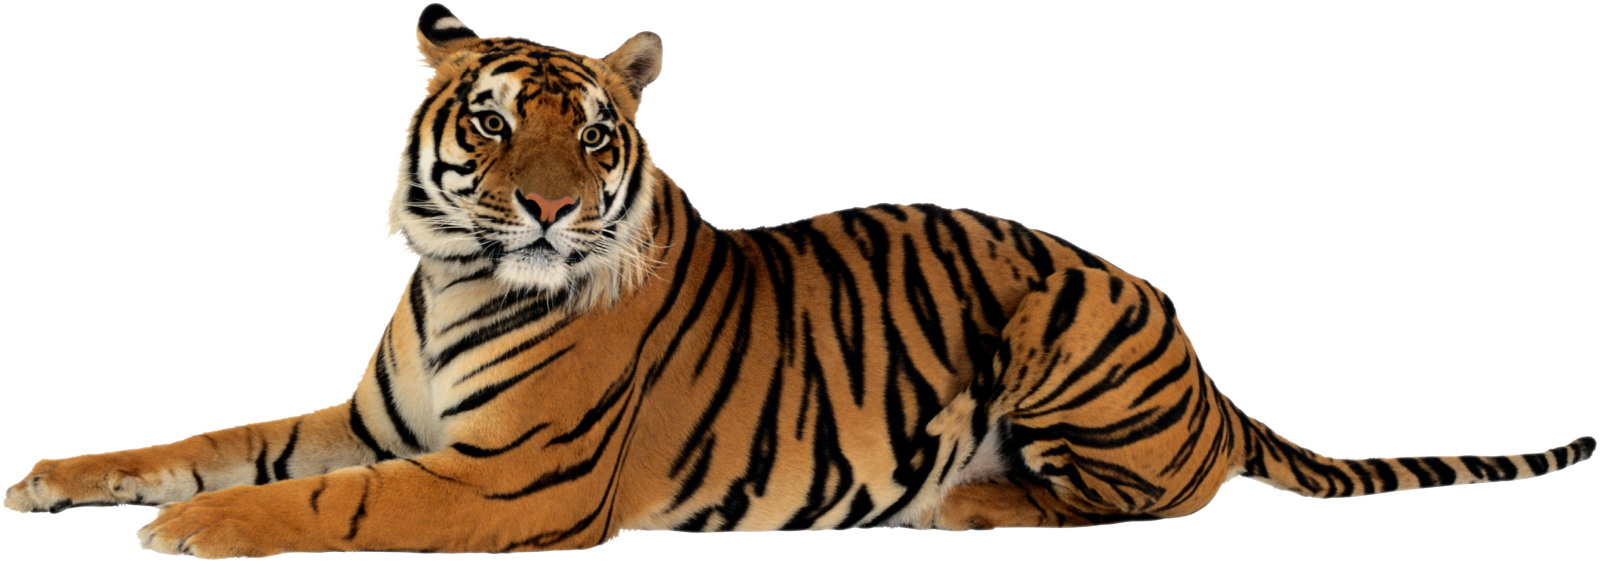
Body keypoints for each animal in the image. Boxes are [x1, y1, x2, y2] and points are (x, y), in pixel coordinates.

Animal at [4, 1, 1593, 558]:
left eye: (596, 135)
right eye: (491, 121)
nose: (552, 207)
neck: (455, 280)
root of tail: (1208, 365)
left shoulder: (505, 479)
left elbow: (317, 499)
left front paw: (188, 529)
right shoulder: (376, 418)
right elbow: (210, 437)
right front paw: (53, 476)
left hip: (1066, 319)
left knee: (1161, 491)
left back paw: (969, 499)